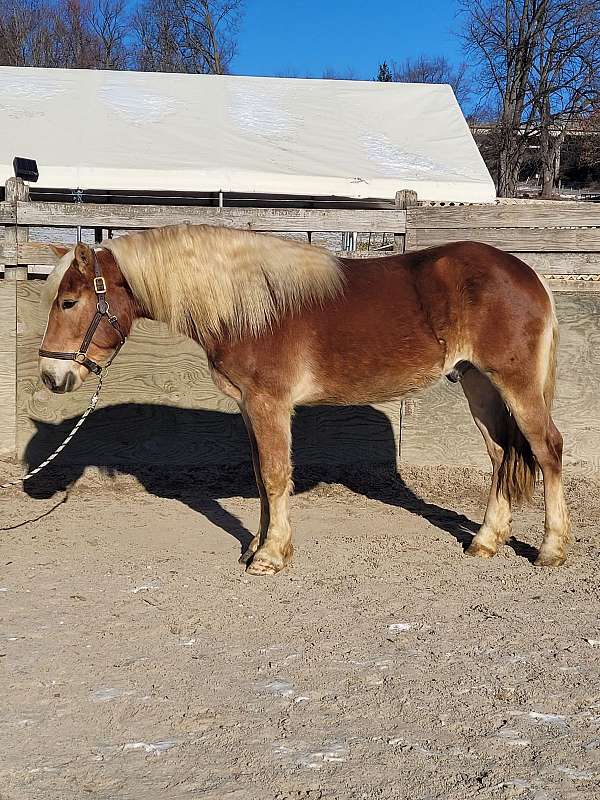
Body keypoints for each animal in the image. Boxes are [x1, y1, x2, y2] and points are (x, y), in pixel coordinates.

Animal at [39, 225, 568, 576]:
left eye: (69, 301)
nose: (51, 375)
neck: (249, 304)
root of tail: (528, 274)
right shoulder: (249, 407)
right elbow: (260, 476)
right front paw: (257, 546)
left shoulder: (269, 403)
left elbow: (275, 477)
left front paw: (270, 557)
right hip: (478, 384)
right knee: (501, 455)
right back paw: (486, 541)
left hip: (515, 384)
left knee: (547, 449)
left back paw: (551, 548)